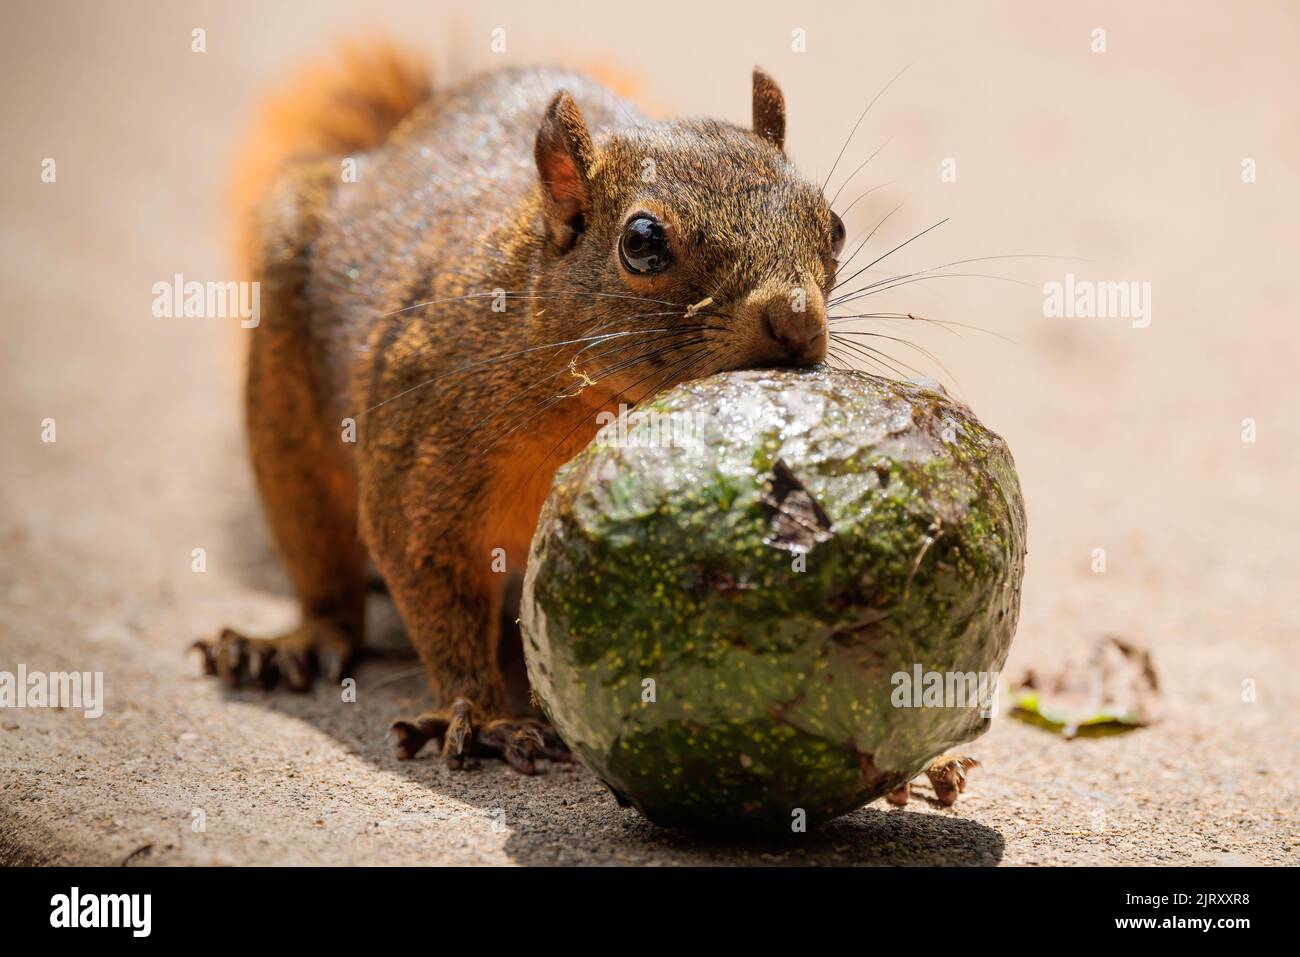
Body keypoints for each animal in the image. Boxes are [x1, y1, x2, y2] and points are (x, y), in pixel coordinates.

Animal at [196, 40, 845, 773]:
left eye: (834, 226)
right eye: (643, 243)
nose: (796, 320)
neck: (588, 407)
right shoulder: (425, 438)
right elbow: (428, 571)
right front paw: (485, 715)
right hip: (284, 416)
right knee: (322, 564)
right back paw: (294, 642)